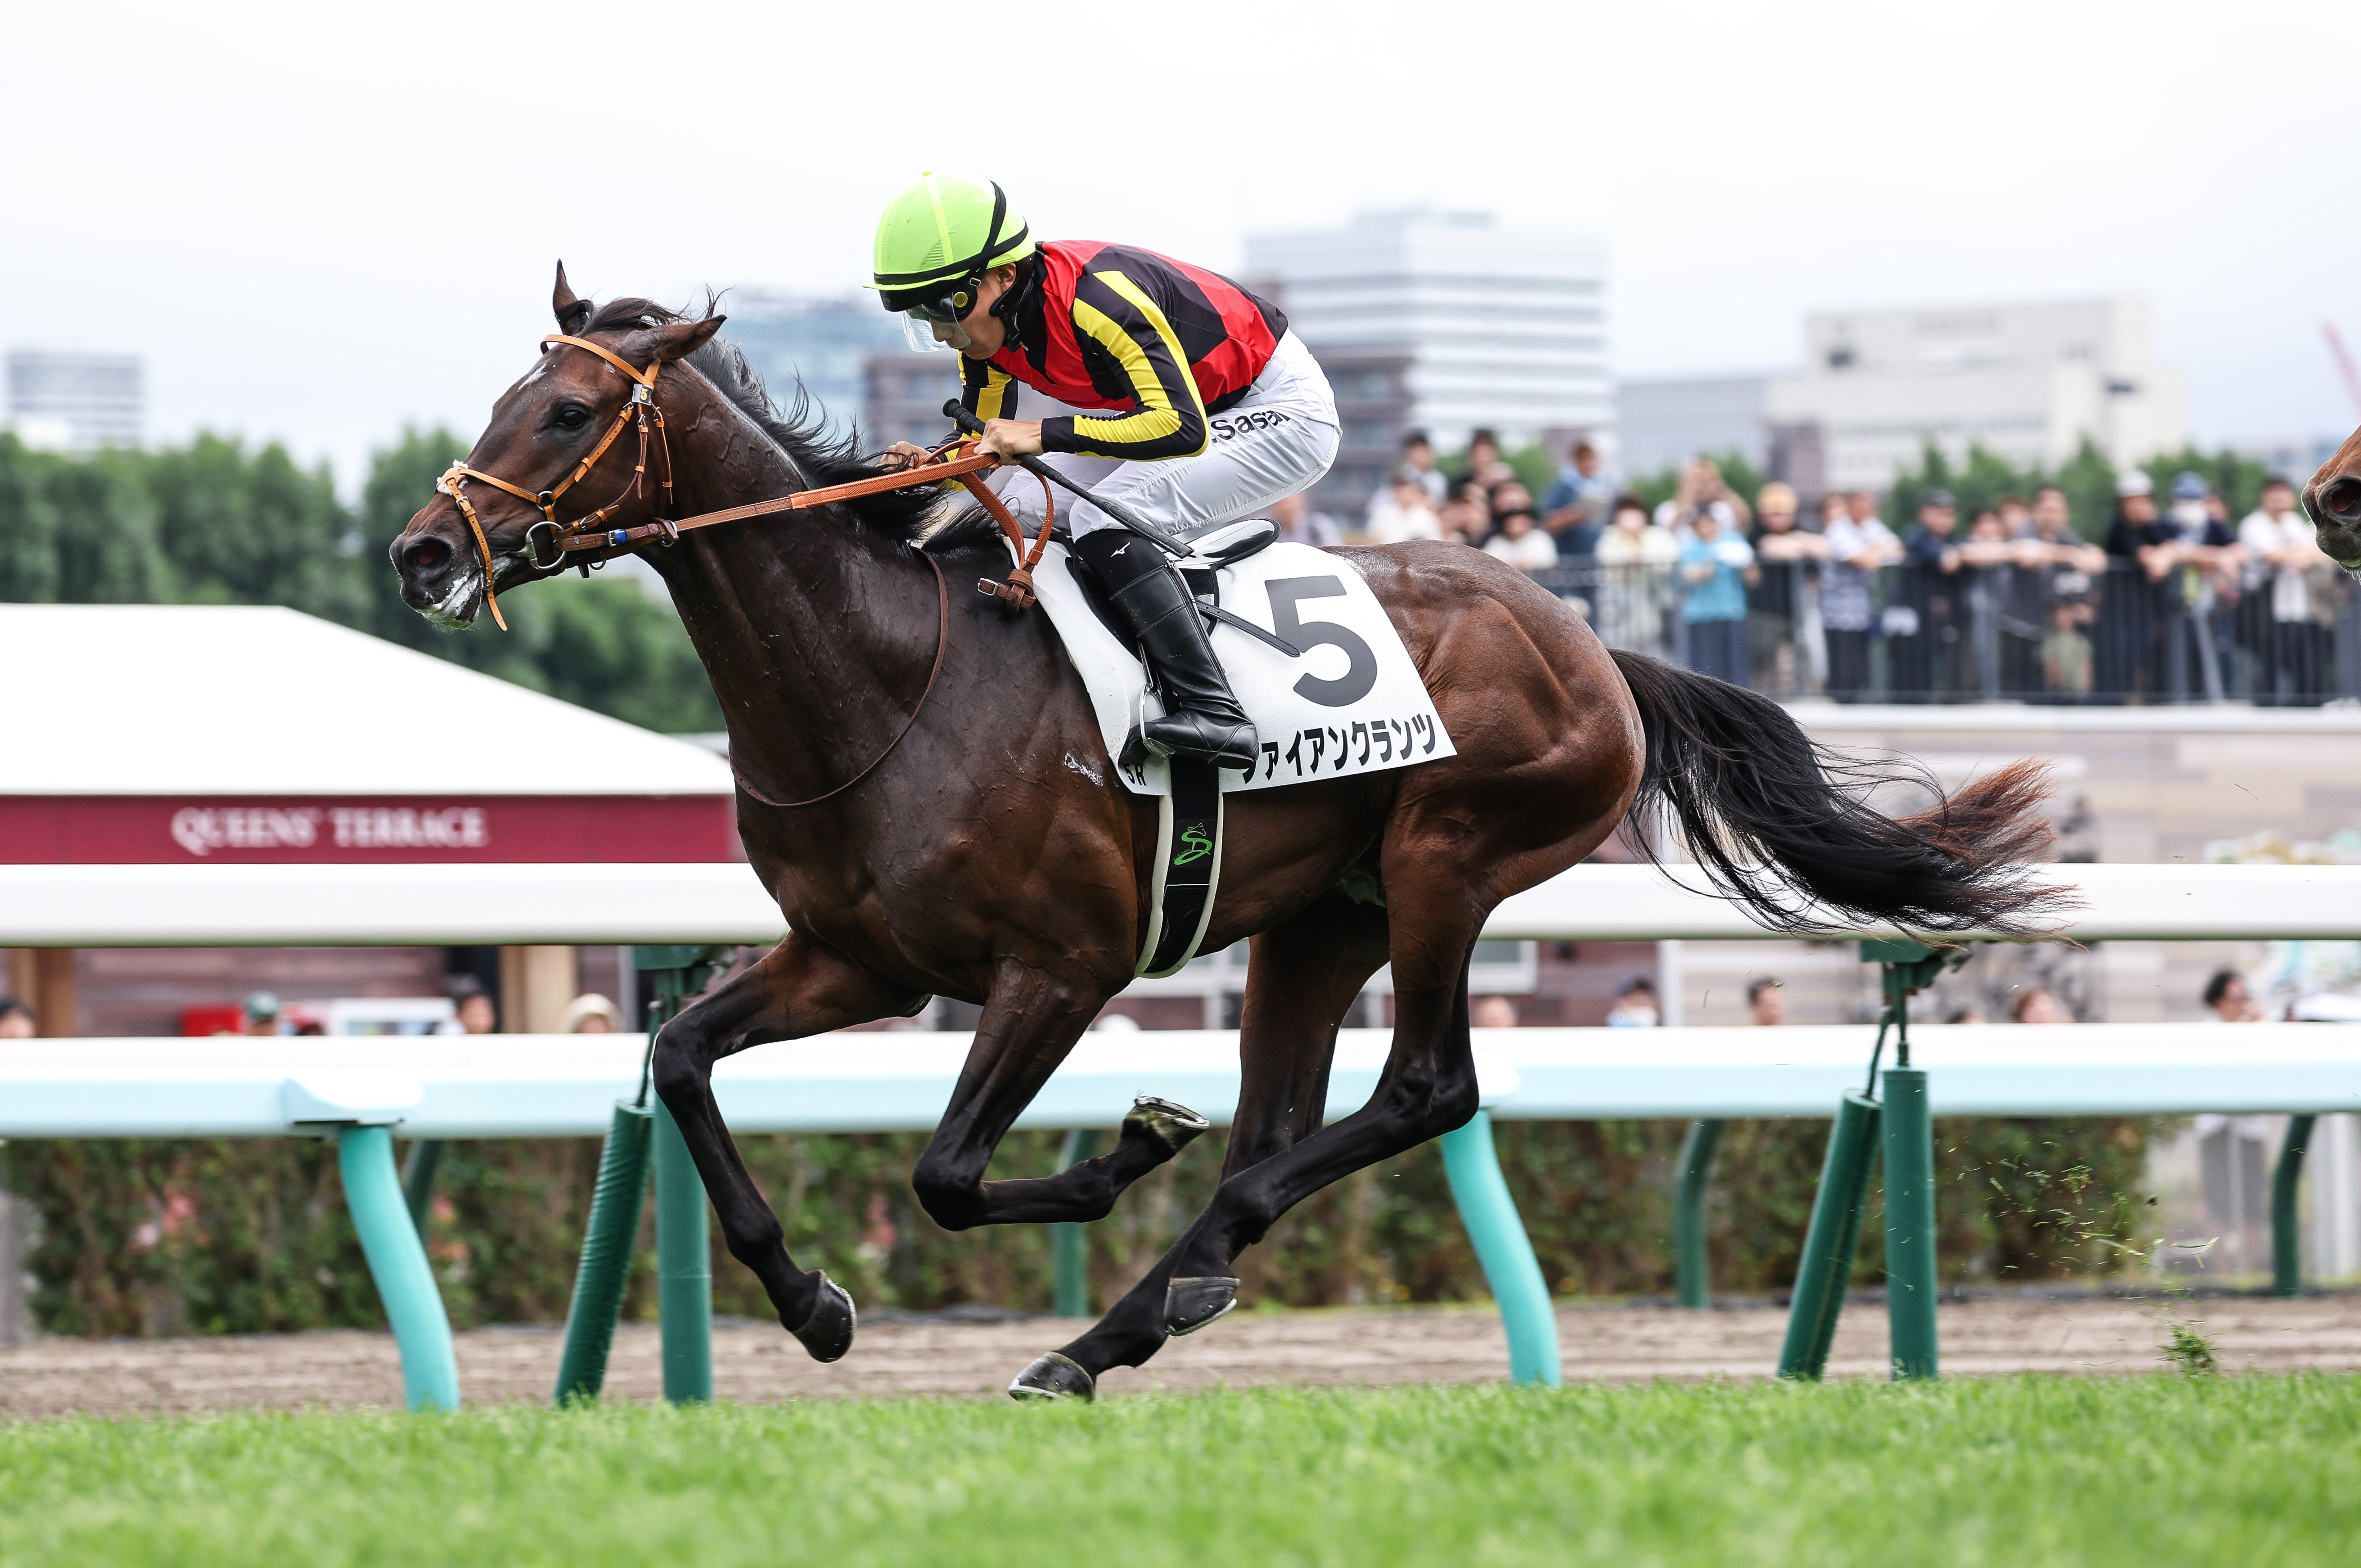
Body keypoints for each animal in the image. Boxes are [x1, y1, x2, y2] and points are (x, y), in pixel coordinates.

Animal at [391, 267, 2060, 1399]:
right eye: (499, 402)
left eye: (567, 411)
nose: (420, 552)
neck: (887, 679)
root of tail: (1592, 646)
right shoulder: (856, 957)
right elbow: (681, 1060)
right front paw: (809, 1301)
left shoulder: (1058, 964)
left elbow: (947, 1172)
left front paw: (1120, 1148)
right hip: (1323, 913)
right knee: (1284, 1117)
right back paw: (1124, 1320)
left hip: (1445, 858)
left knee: (1423, 1089)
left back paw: (1171, 1267)